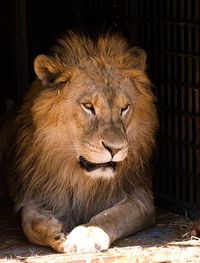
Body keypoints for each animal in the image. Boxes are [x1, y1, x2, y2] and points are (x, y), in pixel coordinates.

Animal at [1, 33, 158, 254]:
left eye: (124, 108)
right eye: (88, 106)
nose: (115, 148)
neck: (81, 178)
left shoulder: (141, 200)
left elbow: (110, 216)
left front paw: (85, 236)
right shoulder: (34, 191)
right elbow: (28, 219)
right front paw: (52, 230)